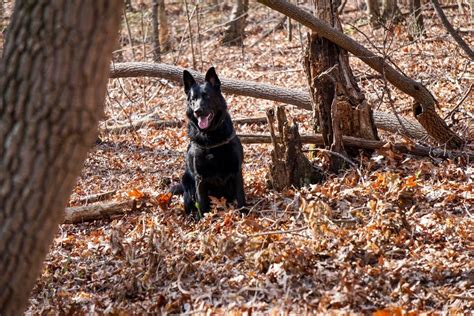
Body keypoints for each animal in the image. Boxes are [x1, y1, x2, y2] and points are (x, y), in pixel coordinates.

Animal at [171, 67, 246, 217]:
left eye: (207, 96)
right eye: (193, 99)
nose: (197, 111)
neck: (211, 137)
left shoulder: (236, 170)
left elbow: (241, 197)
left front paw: (244, 214)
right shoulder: (200, 178)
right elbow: (202, 203)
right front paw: (204, 219)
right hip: (186, 181)